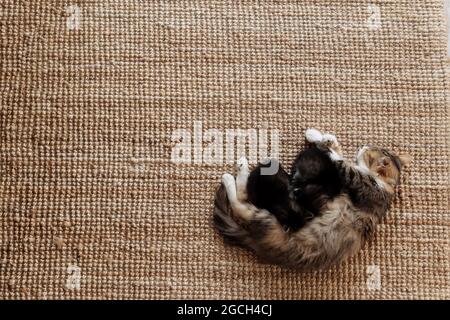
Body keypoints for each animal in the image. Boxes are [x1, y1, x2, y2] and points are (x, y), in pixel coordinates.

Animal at [214, 127, 412, 270]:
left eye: (369, 152)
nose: (363, 145)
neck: (385, 185)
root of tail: (257, 242)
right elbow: (336, 148)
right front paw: (319, 135)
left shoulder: (354, 179)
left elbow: (336, 157)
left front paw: (317, 138)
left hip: (267, 217)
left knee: (240, 202)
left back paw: (234, 174)